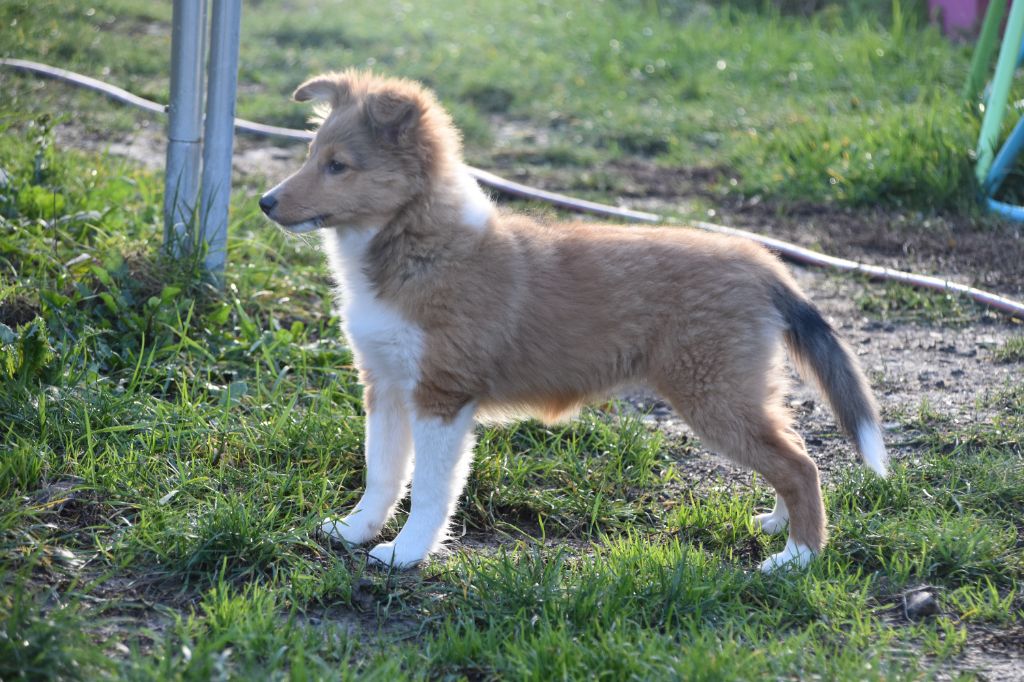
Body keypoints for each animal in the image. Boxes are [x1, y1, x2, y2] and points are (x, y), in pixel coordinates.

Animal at [258, 70, 888, 569]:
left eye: (339, 166)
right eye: (310, 155)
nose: (265, 202)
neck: (413, 246)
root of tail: (761, 262)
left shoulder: (442, 396)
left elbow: (432, 489)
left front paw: (407, 554)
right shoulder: (386, 386)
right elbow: (383, 474)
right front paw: (354, 532)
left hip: (713, 393)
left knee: (801, 465)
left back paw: (797, 558)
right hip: (740, 391)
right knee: (792, 449)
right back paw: (777, 524)